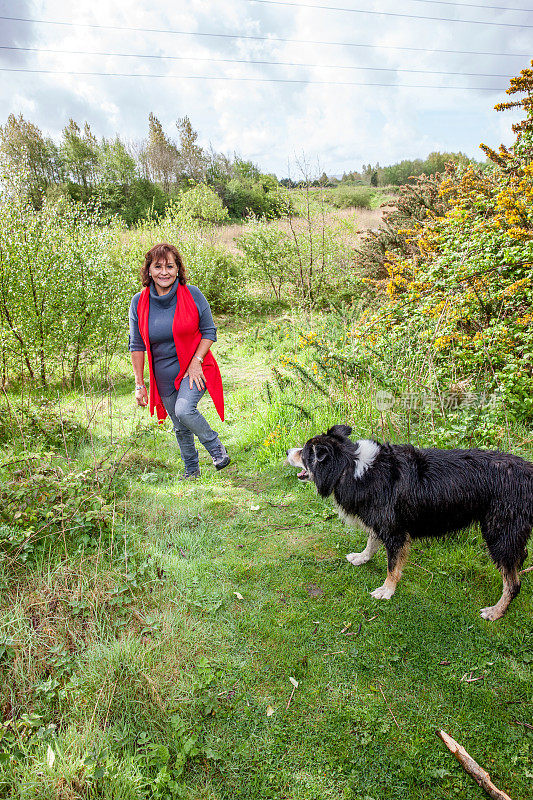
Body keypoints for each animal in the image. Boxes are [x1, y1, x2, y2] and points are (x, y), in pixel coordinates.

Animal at [288, 424, 528, 620]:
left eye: (305, 452)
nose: (288, 452)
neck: (351, 465)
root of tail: (528, 473)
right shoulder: (380, 520)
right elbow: (371, 542)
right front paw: (362, 558)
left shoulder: (395, 532)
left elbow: (392, 566)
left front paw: (386, 590)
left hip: (500, 535)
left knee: (514, 583)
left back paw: (496, 611)